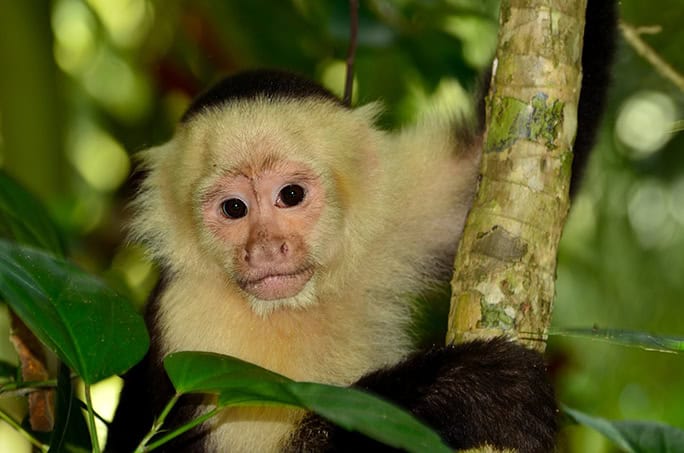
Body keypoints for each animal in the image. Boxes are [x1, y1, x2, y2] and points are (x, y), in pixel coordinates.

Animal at [107, 1, 616, 451]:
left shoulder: (398, 209)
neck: (296, 308)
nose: (266, 249)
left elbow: (485, 160)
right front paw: (468, 388)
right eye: (234, 209)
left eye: (290, 196)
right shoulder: (195, 327)